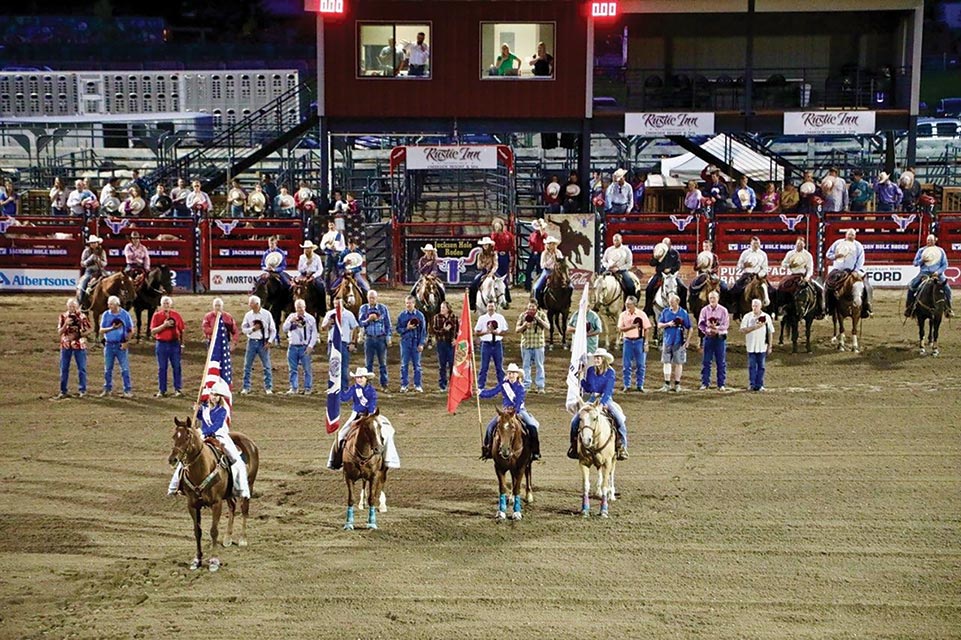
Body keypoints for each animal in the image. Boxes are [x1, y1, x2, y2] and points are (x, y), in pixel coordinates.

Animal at [167, 418, 258, 572]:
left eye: (187, 437)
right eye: (174, 437)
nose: (172, 459)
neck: (202, 470)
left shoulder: (216, 503)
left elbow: (213, 531)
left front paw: (214, 561)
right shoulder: (192, 505)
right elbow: (197, 531)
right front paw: (197, 560)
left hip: (249, 485)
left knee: (244, 509)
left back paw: (242, 539)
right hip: (228, 494)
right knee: (233, 507)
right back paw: (227, 538)